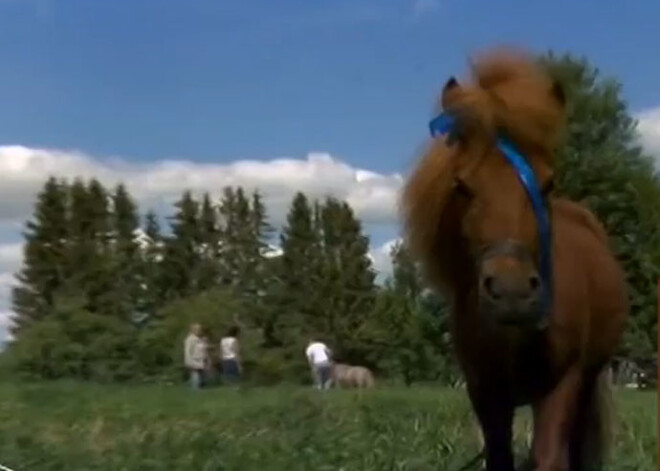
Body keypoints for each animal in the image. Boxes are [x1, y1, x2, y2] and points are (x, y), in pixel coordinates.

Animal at [402, 46, 628, 470]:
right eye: (461, 185)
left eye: (548, 182)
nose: (511, 292)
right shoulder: (485, 390)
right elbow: (499, 456)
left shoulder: (563, 382)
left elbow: (549, 457)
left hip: (589, 380)